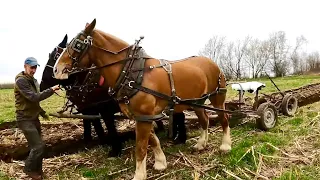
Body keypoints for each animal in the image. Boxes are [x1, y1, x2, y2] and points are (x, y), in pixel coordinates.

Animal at [53, 19, 231, 179]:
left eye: (77, 44)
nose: (56, 69)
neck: (132, 72)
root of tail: (212, 62)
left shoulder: (144, 115)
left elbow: (141, 147)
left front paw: (139, 175)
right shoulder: (141, 116)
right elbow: (153, 140)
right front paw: (160, 162)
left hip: (218, 97)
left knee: (224, 118)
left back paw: (225, 145)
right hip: (197, 102)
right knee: (204, 120)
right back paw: (201, 144)